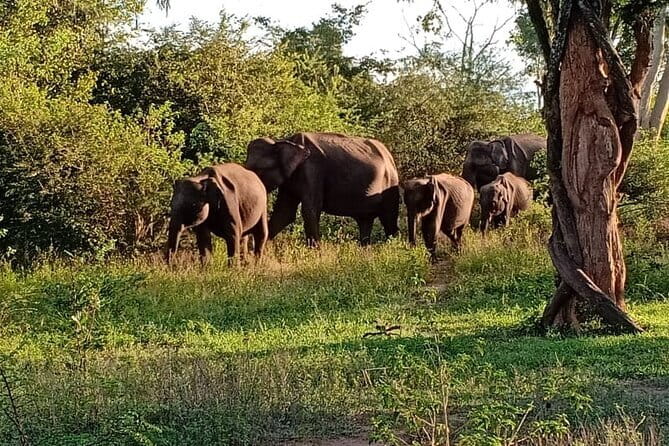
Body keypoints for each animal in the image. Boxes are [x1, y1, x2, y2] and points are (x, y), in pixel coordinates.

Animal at [245, 132, 400, 246]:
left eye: (260, 170)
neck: (284, 142)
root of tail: (390, 156)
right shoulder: (290, 181)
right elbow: (284, 213)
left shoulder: (312, 170)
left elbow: (310, 209)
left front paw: (315, 252)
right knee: (365, 222)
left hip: (390, 184)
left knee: (389, 219)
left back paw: (393, 247)